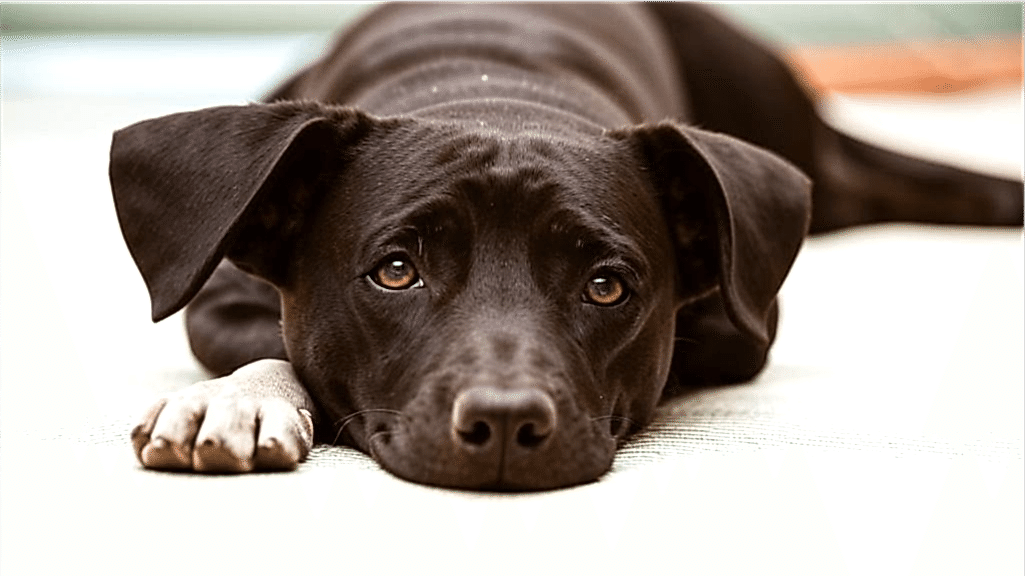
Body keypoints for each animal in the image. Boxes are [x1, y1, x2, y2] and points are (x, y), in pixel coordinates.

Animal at [109, 3, 1021, 490]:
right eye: (396, 271)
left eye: (606, 285)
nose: (506, 422)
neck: (493, 94)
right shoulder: (220, 299)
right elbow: (272, 346)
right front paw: (233, 399)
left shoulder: (740, 326)